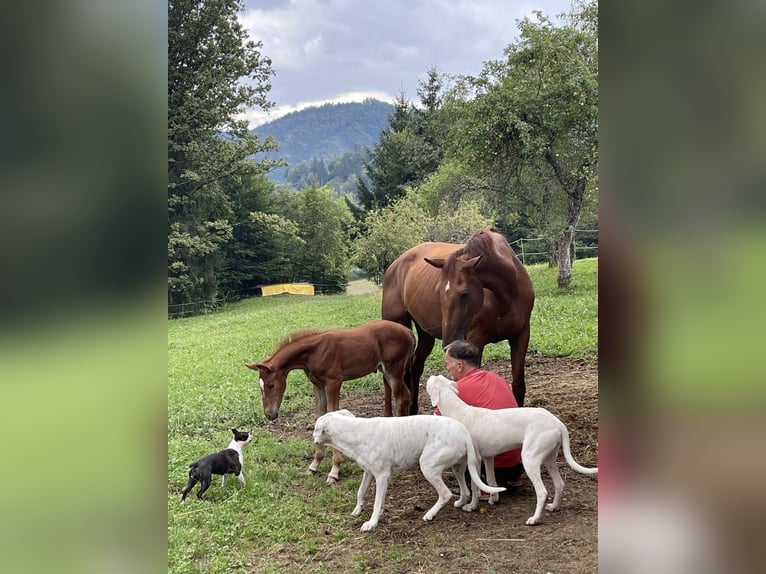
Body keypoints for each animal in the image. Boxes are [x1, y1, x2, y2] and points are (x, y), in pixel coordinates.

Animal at [245, 319, 415, 483]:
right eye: (260, 387)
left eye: (271, 385)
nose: (269, 414)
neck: (314, 352)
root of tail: (407, 331)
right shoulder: (318, 385)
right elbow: (319, 416)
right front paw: (314, 465)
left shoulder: (334, 383)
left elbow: (332, 416)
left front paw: (334, 471)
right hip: (386, 371)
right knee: (406, 396)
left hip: (393, 370)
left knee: (401, 398)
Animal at [381, 228, 535, 413]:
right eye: (439, 291)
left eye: (465, 293)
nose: (449, 341)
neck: (507, 293)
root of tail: (394, 265)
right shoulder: (476, 340)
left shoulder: (521, 335)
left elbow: (518, 386)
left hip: (425, 335)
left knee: (415, 367)